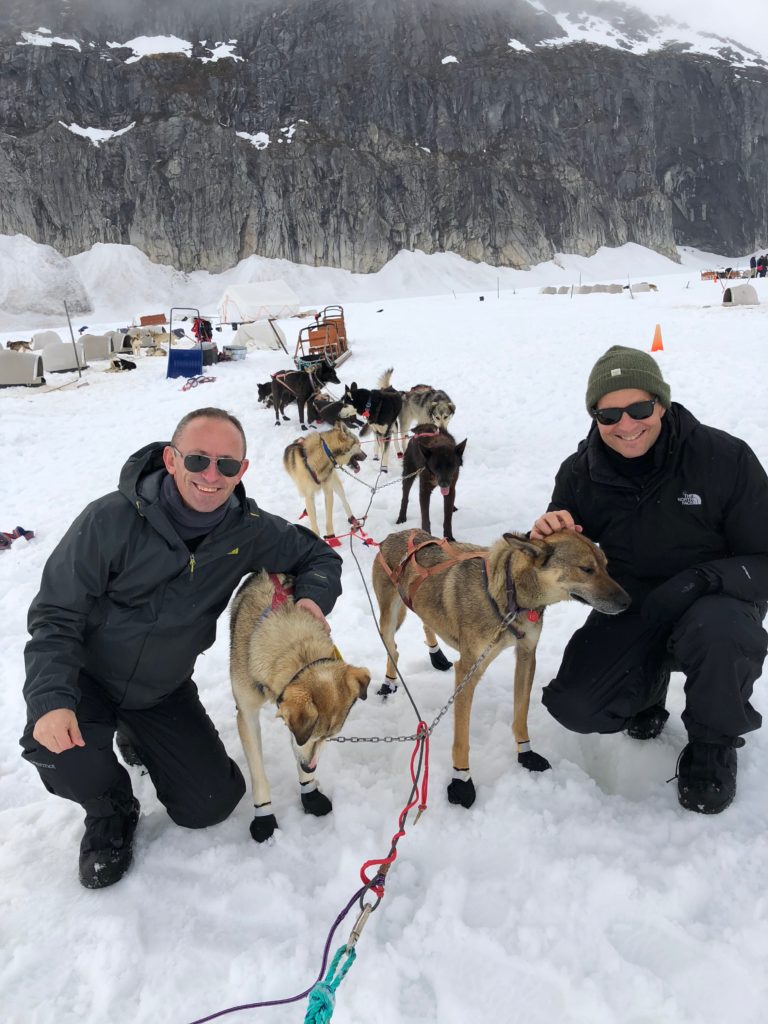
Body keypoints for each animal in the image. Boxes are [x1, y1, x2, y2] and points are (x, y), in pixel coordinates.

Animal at [228, 569, 372, 839]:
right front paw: (264, 816)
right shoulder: (247, 715)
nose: (310, 766)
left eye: (328, 737)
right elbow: (259, 775)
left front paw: (310, 791)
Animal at [372, 528, 630, 806]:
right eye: (586, 569)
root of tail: (394, 535)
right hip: (388, 620)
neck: (510, 597)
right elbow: (462, 739)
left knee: (424, 623)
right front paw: (461, 780)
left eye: (606, 566)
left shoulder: (527, 655)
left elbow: (520, 714)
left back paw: (436, 655)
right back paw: (388, 683)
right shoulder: (468, 670)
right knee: (393, 648)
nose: (628, 601)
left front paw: (525, 753)